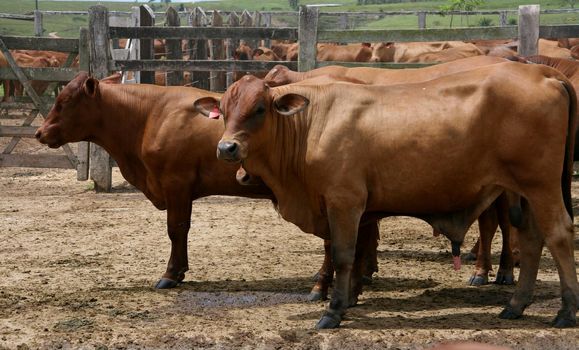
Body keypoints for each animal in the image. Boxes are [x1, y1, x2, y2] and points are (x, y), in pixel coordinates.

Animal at [35, 72, 380, 300]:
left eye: (65, 101)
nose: (40, 133)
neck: (150, 115)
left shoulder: (176, 182)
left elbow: (176, 228)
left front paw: (171, 274)